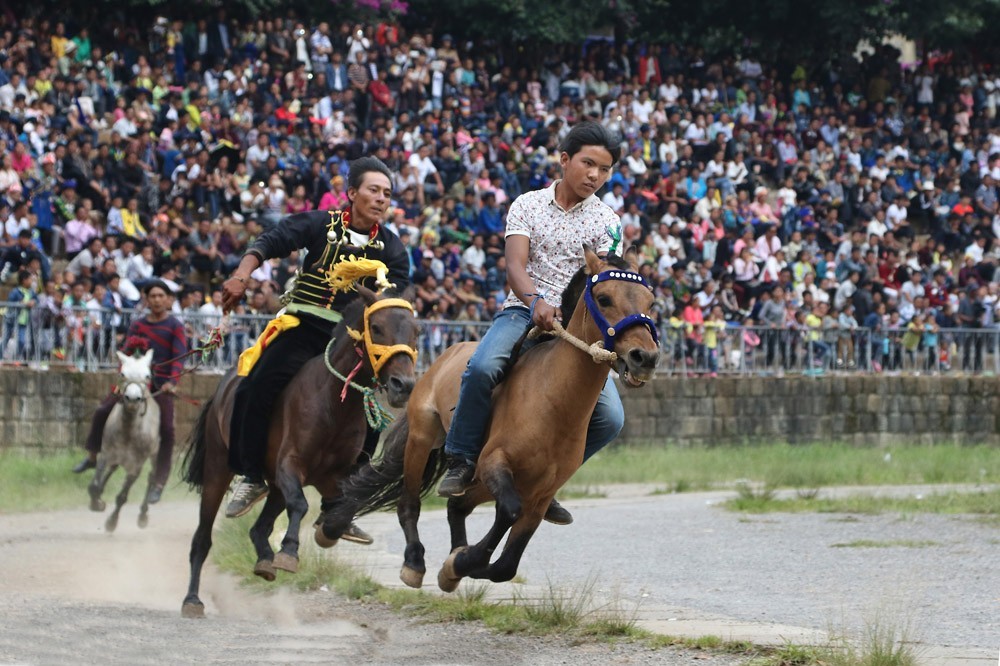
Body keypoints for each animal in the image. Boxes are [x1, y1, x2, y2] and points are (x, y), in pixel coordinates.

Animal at [88, 350, 162, 532]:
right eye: (123, 374)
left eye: (148, 376)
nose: (132, 399)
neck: (129, 429)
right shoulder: (106, 453)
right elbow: (94, 485)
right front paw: (97, 503)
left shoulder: (136, 466)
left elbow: (122, 497)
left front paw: (111, 522)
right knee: (112, 468)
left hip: (154, 454)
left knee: (152, 476)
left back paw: (143, 515)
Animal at [178, 288, 416, 616]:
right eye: (377, 328)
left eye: (416, 331)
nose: (403, 385)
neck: (333, 403)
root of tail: (223, 387)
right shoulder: (290, 465)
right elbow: (301, 505)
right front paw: (289, 551)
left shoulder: (336, 476)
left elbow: (342, 509)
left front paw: (329, 530)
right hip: (218, 468)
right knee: (203, 538)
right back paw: (192, 599)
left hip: (276, 487)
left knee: (259, 528)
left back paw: (265, 560)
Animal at [324, 246, 660, 588]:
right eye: (604, 298)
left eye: (650, 301)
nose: (645, 357)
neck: (552, 398)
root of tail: (445, 355)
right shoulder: (493, 463)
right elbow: (508, 511)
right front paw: (462, 561)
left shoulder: (541, 494)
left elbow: (506, 565)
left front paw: (458, 563)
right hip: (422, 439)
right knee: (411, 503)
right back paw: (415, 562)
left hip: (479, 480)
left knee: (457, 506)